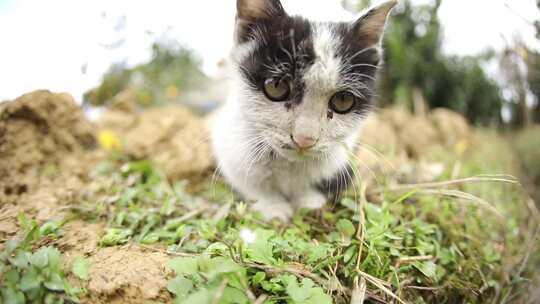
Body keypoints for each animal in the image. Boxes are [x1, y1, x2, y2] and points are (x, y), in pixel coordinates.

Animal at [212, 0, 396, 220]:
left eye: (343, 100)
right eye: (276, 87)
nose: (305, 139)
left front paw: (309, 202)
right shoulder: (230, 144)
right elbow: (250, 181)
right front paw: (272, 207)